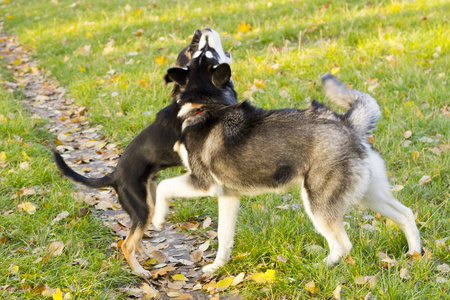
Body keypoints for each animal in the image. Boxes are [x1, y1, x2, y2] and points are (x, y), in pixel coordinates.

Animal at [53, 28, 236, 276]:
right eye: (203, 51)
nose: (204, 30)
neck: (201, 95)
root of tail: (114, 175)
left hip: (149, 201)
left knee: (136, 239)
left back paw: (147, 256)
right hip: (142, 208)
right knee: (127, 244)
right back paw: (140, 271)